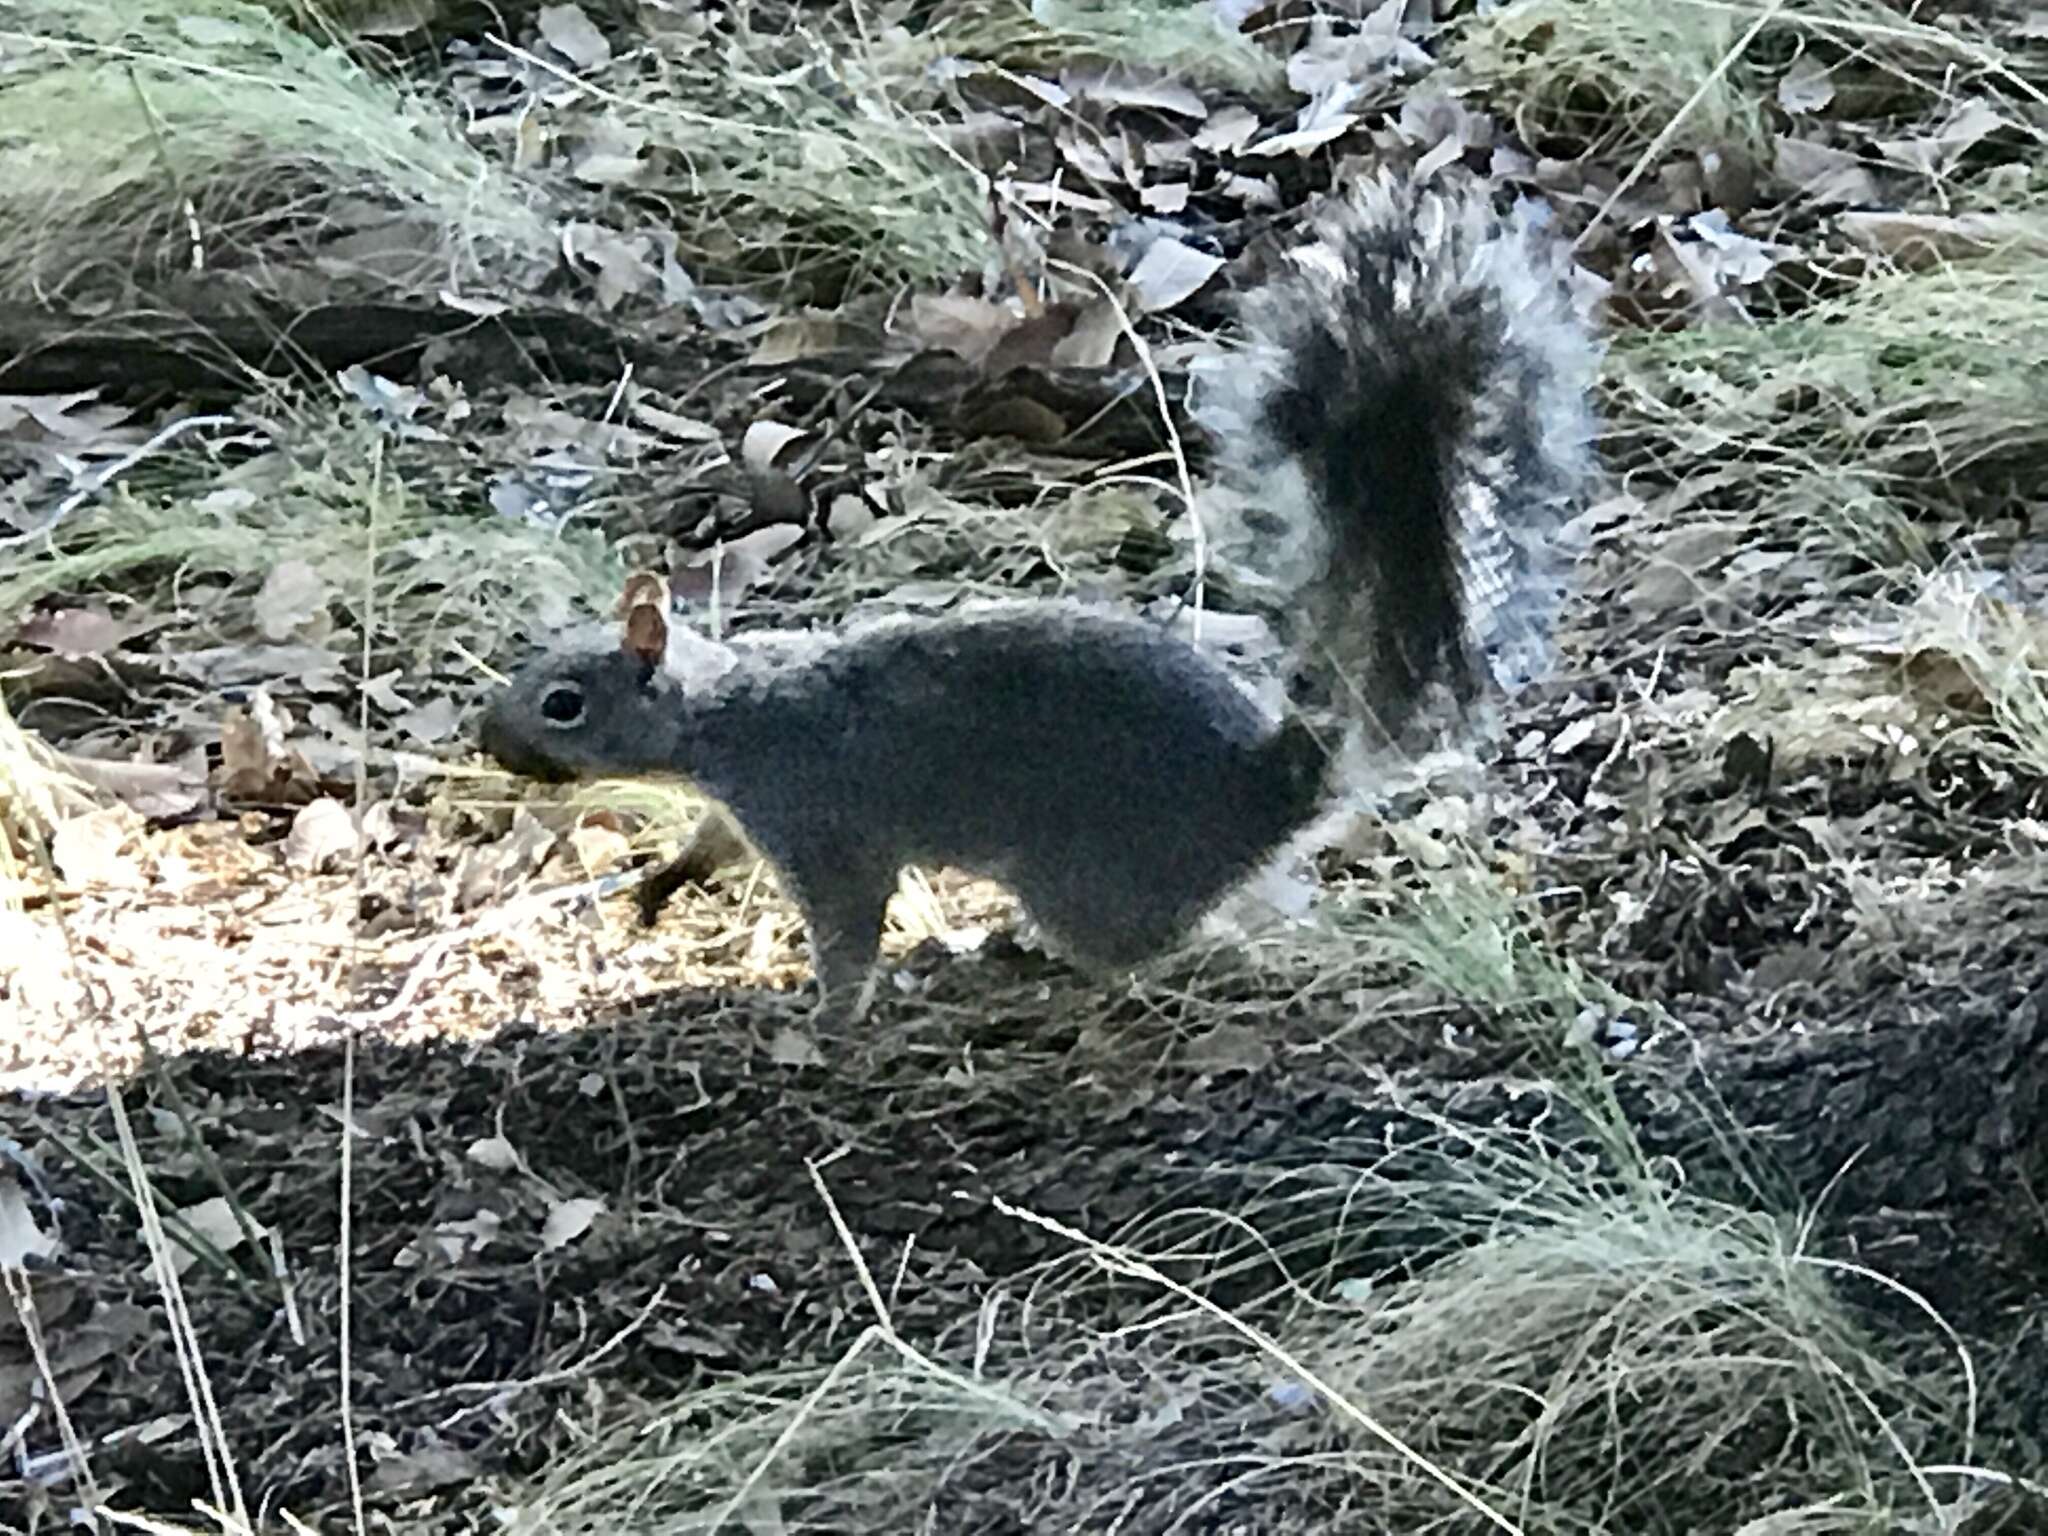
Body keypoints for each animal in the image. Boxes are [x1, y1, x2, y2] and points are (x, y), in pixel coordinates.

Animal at [479, 171, 1597, 1024]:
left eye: (563, 703)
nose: (488, 743)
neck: (726, 709)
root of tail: (1263, 794)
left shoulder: (817, 816)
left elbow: (846, 926)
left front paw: (823, 1018)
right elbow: (710, 845)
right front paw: (664, 882)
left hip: (1092, 879)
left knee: (1157, 945)